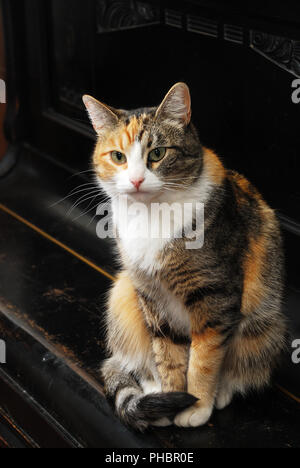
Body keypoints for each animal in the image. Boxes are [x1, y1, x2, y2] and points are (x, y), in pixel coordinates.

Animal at [82, 82, 286, 430]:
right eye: (118, 157)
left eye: (157, 153)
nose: (136, 180)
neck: (153, 213)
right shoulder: (151, 296)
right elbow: (167, 354)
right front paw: (170, 397)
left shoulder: (215, 296)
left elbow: (204, 360)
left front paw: (198, 405)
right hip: (124, 294)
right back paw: (152, 392)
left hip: (263, 324)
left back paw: (221, 393)